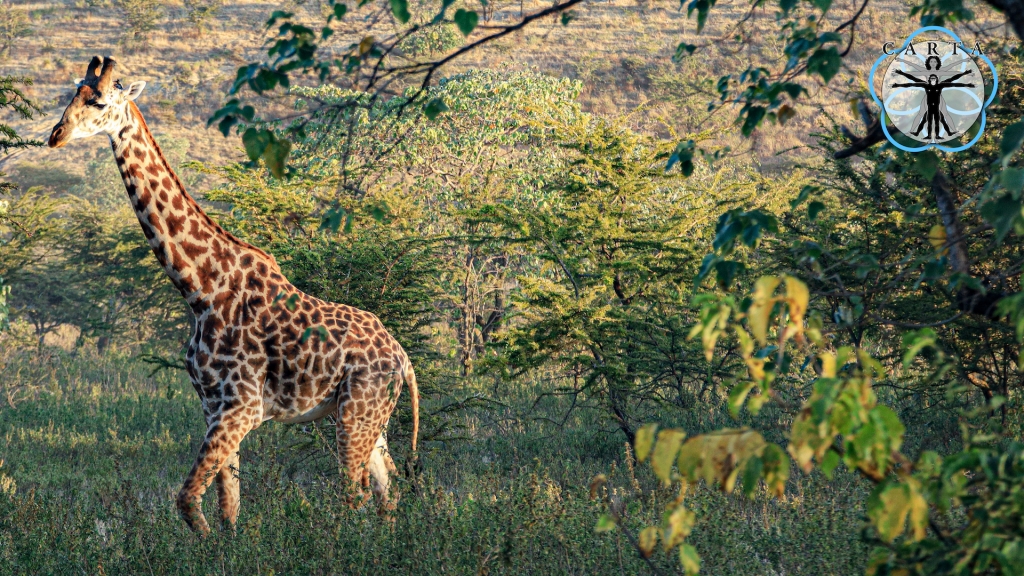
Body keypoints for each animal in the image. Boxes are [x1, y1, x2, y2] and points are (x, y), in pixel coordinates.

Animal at [47, 56, 415, 532]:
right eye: (72, 92)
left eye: (99, 101)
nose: (56, 134)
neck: (200, 290)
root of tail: (401, 356)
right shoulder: (212, 406)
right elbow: (228, 506)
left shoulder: (241, 407)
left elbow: (187, 499)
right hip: (369, 416)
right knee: (388, 490)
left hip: (356, 414)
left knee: (356, 496)